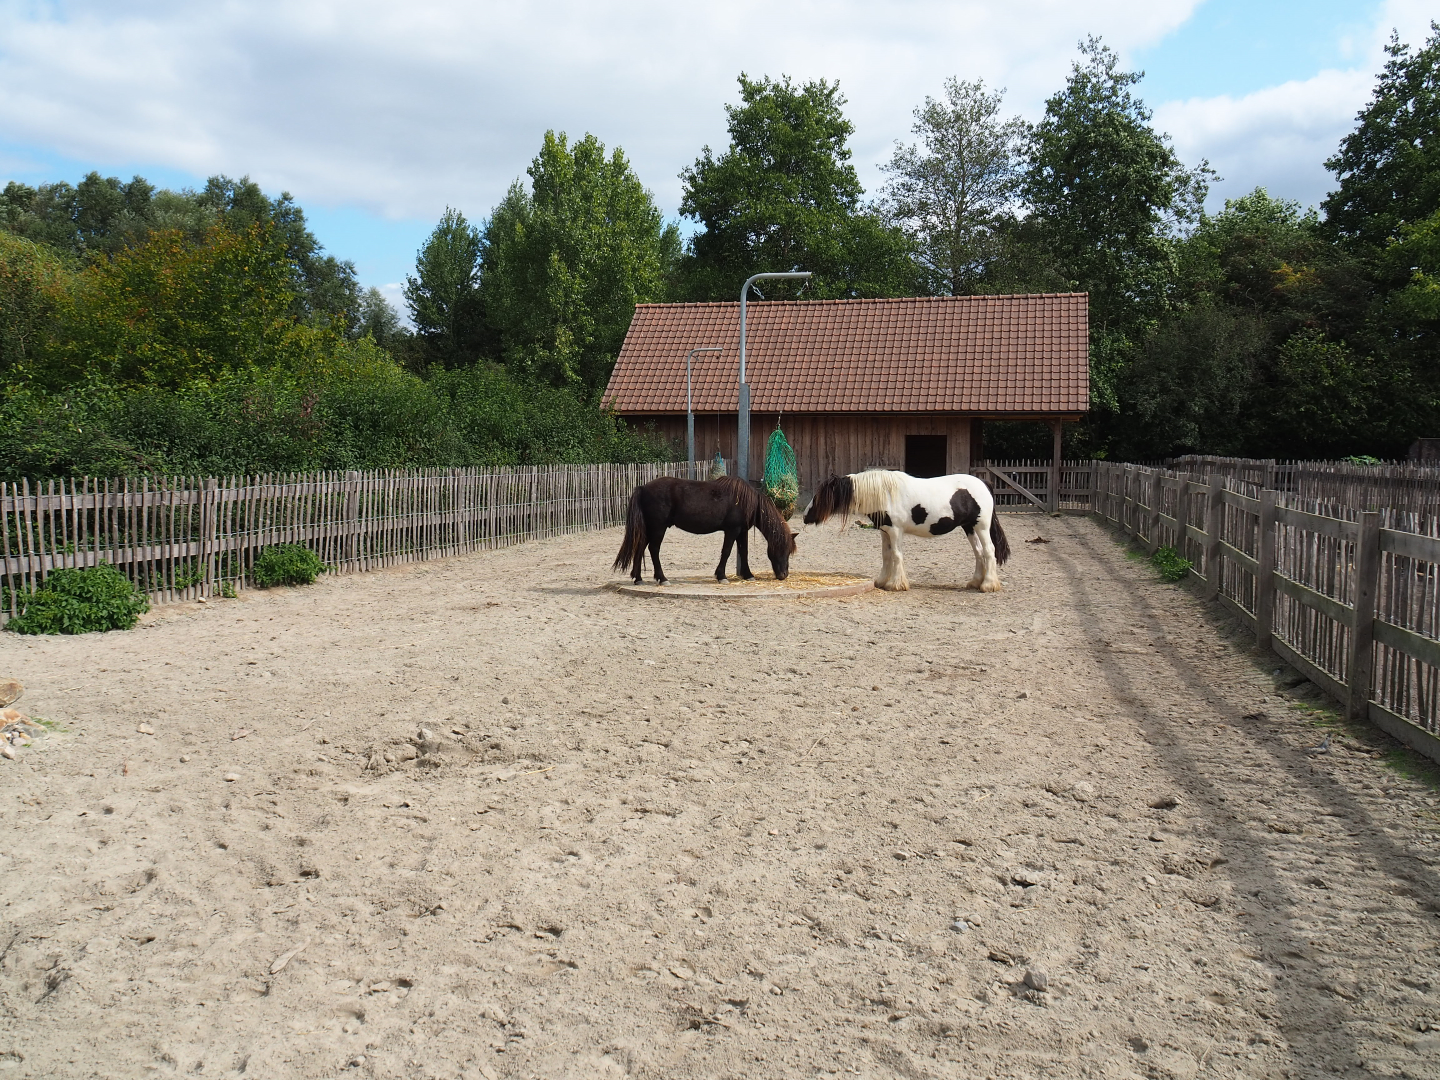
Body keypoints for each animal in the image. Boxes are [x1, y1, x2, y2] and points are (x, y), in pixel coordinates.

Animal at [614, 475, 797, 585]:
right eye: (784, 550)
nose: (784, 575)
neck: (747, 501)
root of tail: (642, 487)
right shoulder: (732, 530)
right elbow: (726, 552)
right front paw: (721, 576)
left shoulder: (742, 531)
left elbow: (743, 552)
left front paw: (748, 575)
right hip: (658, 527)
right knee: (653, 549)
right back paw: (662, 578)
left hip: (650, 528)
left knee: (640, 548)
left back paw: (638, 578)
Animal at [803, 469, 1010, 591]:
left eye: (819, 496)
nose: (805, 516)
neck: (883, 493)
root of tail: (984, 483)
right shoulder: (885, 531)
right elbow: (886, 555)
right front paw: (882, 581)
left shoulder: (895, 531)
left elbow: (896, 555)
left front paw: (896, 584)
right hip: (969, 527)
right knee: (979, 552)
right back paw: (975, 582)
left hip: (981, 526)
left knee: (989, 551)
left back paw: (988, 585)